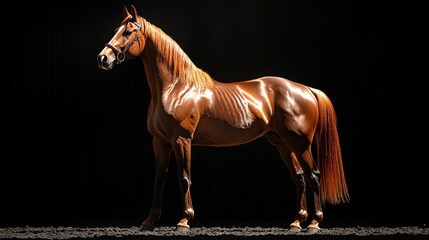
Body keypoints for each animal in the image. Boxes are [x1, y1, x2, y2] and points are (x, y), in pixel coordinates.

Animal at [96, 5, 348, 234]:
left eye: (128, 32)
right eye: (117, 30)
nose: (103, 58)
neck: (176, 87)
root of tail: (307, 89)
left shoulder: (182, 140)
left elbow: (184, 178)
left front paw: (184, 220)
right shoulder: (160, 142)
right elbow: (159, 179)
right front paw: (149, 220)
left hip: (300, 144)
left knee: (313, 176)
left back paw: (314, 223)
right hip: (282, 143)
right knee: (300, 178)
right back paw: (296, 222)